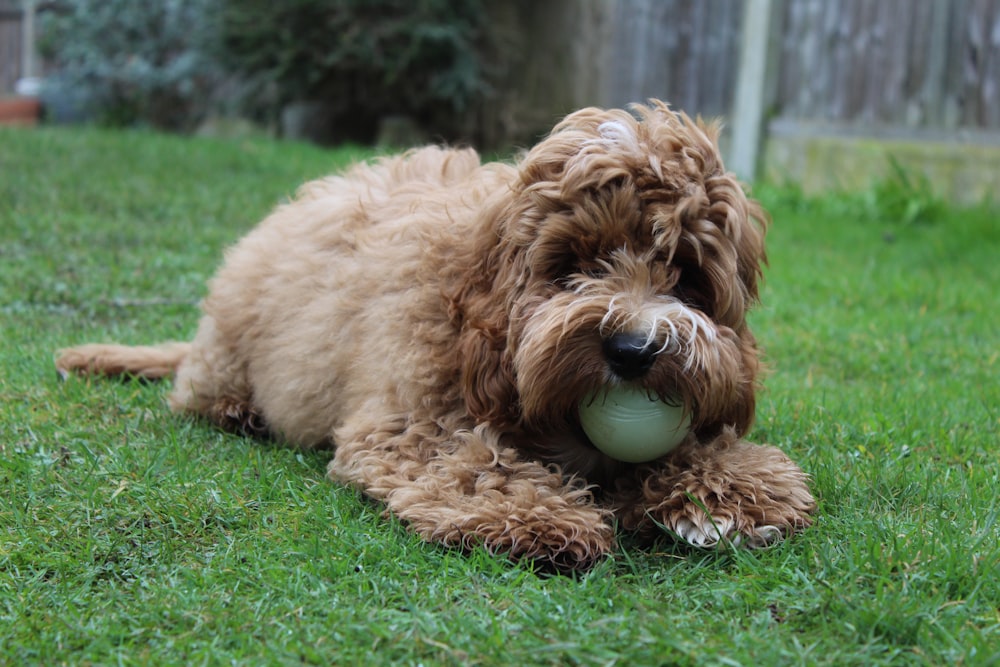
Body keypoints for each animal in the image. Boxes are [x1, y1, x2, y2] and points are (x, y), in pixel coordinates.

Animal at [56, 102, 812, 572]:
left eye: (686, 274)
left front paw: (731, 487)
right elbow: (470, 463)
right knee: (198, 391)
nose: (632, 351)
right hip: (227, 352)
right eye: (571, 265)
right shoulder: (407, 419)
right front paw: (541, 518)